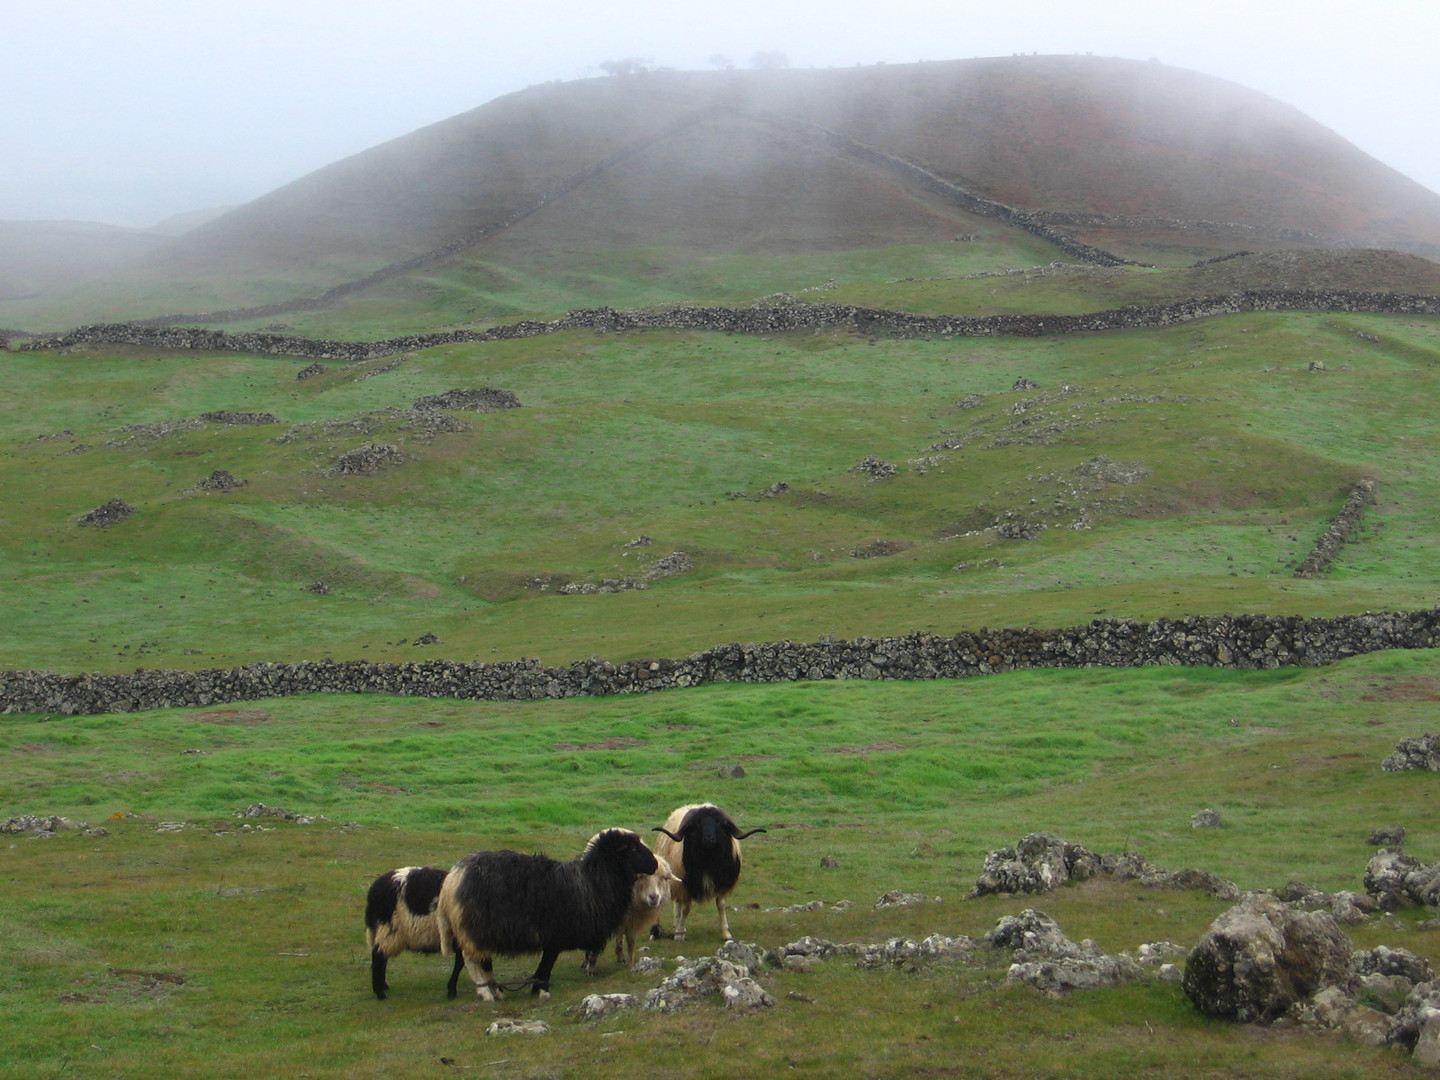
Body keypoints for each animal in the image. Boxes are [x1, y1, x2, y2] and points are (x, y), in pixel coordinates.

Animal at [365, 869, 460, 1002]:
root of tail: (374, 889)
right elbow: (459, 964)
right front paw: (452, 990)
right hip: (389, 929)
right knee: (378, 956)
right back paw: (380, 993)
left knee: (382, 956)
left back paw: (383, 986)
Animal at [434, 829, 659, 1008]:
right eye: (631, 849)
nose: (655, 863)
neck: (593, 881)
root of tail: (452, 879)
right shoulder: (555, 935)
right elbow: (547, 964)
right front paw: (542, 990)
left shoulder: (552, 938)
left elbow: (544, 964)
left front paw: (536, 988)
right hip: (476, 926)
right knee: (471, 960)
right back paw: (486, 993)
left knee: (476, 960)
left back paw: (491, 990)